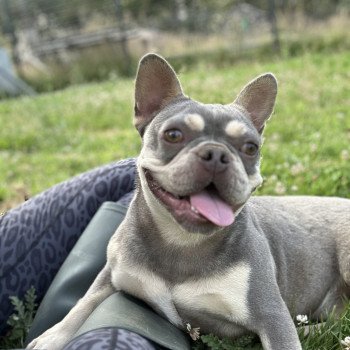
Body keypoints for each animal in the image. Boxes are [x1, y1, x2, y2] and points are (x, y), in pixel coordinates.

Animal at [28, 52, 350, 350]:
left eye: (251, 148)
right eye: (173, 134)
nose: (217, 154)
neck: (182, 241)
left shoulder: (272, 317)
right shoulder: (112, 273)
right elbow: (85, 301)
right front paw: (52, 337)